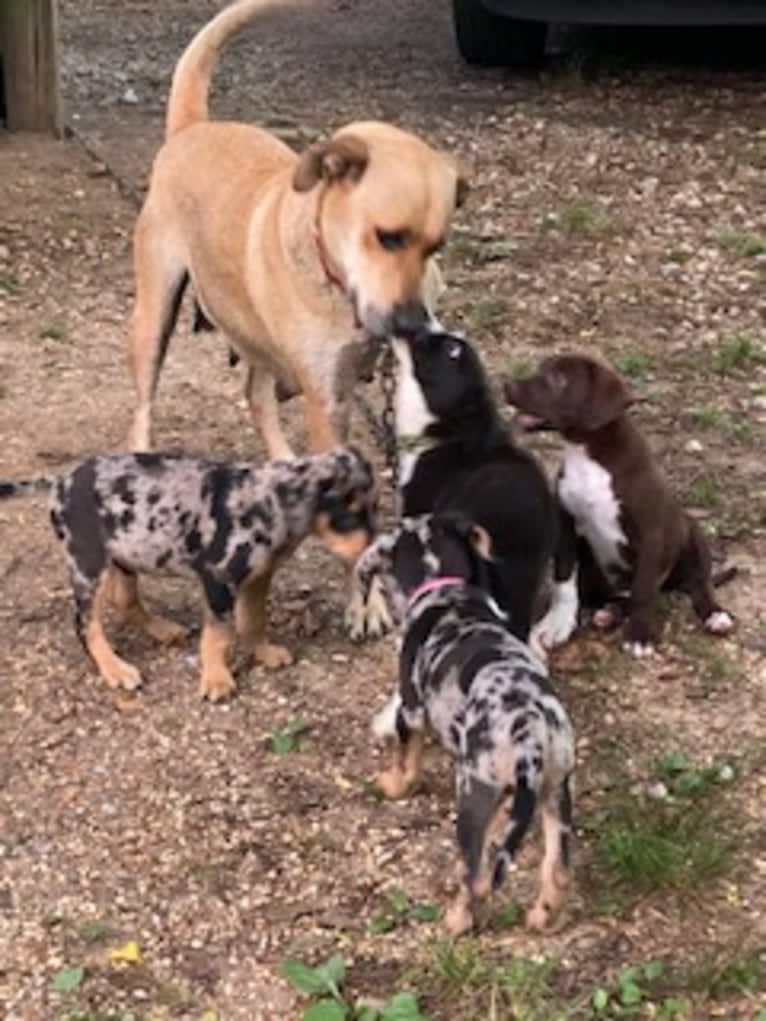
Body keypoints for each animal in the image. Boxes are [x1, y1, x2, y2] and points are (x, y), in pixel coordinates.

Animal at [0, 449, 377, 702]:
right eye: (347, 516)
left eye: (374, 509)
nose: (376, 552)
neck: (267, 503)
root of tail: (60, 482)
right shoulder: (218, 580)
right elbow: (218, 634)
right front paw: (216, 679)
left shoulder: (257, 578)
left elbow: (253, 621)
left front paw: (263, 652)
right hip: (88, 564)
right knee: (84, 624)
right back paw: (115, 669)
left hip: (128, 551)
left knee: (123, 601)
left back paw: (161, 629)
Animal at [128, 0, 465, 455]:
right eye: (388, 237)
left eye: (436, 247)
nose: (412, 323)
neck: (334, 280)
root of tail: (192, 128)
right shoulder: (326, 400)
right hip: (153, 317)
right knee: (143, 406)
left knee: (256, 395)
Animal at [371, 514, 576, 935]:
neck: (447, 591)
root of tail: (530, 734)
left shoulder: (410, 710)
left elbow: (406, 760)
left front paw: (393, 785)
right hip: (556, 791)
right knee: (558, 870)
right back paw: (542, 917)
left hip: (472, 792)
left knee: (476, 876)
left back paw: (456, 920)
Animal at [506, 353, 735, 653]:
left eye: (558, 378)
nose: (506, 387)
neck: (587, 454)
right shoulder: (565, 526)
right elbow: (564, 583)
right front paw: (556, 625)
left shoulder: (651, 534)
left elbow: (644, 589)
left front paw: (639, 634)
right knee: (615, 596)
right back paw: (609, 613)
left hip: (691, 532)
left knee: (699, 583)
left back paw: (714, 614)